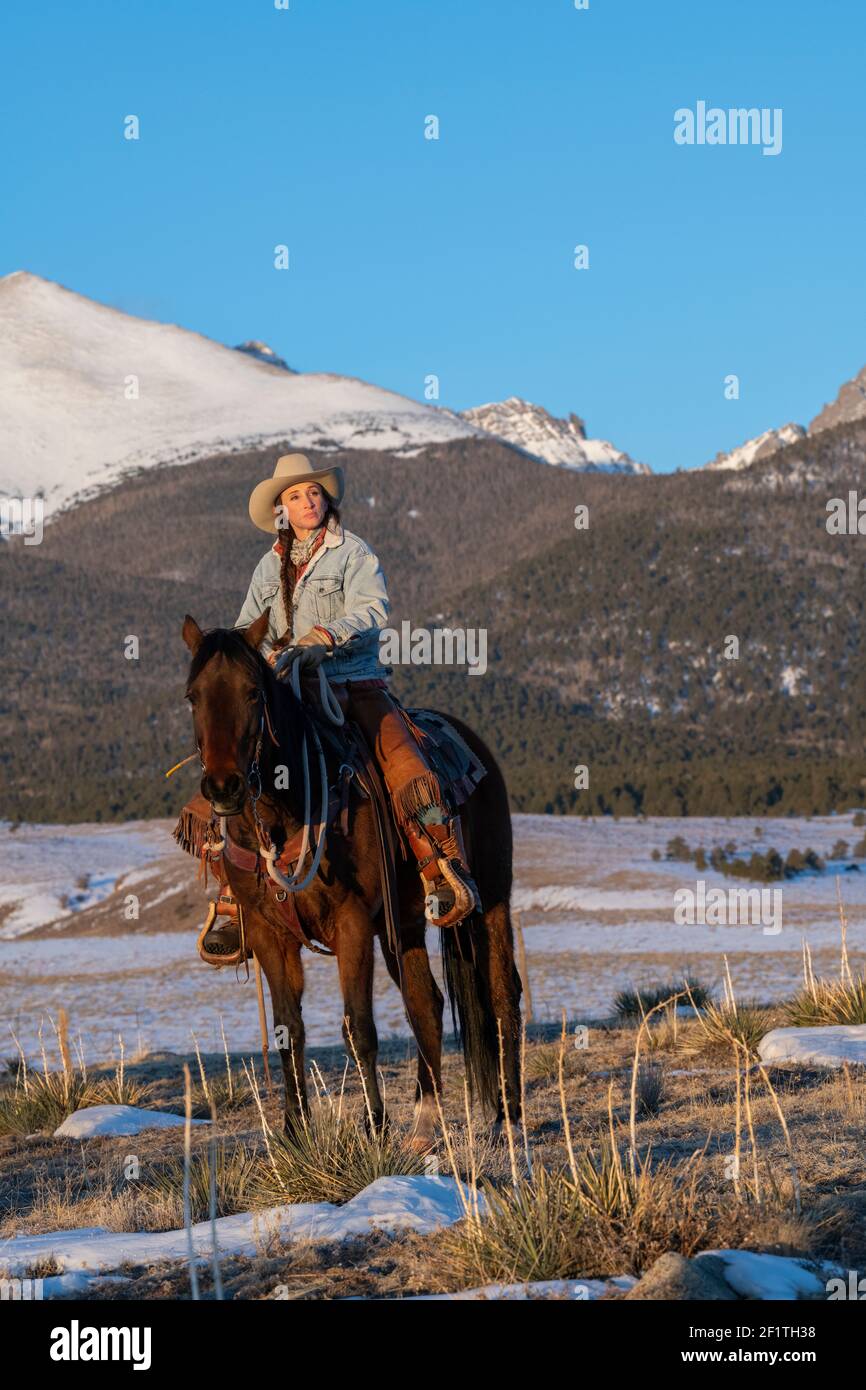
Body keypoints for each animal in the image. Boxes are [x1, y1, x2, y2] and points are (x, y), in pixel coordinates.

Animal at [180, 614, 522, 1145]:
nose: (223, 787)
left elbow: (358, 1027)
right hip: (403, 925)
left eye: (253, 692)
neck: (288, 808)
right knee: (426, 1002)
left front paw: (375, 1127)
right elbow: (288, 1029)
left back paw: (507, 1119)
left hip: (492, 899)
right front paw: (294, 1132)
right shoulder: (269, 933)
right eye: (193, 696)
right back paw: (425, 1124)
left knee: (503, 995)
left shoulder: (353, 922)